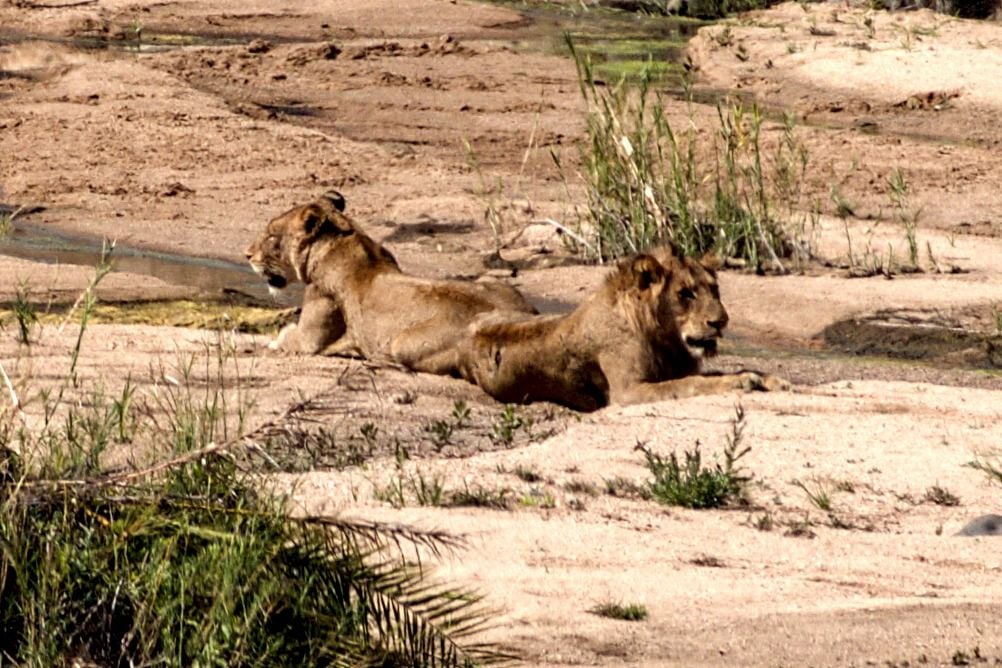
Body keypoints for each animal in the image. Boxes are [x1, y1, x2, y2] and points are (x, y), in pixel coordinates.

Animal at [244, 192, 537, 374]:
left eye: (272, 236)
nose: (247, 255)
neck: (343, 239)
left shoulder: (310, 339)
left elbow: (285, 335)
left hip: (402, 342)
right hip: (498, 283)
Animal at [457, 249, 787, 411]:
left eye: (714, 289)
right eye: (685, 294)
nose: (721, 322)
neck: (665, 339)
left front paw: (774, 380)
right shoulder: (627, 391)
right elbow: (690, 385)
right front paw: (742, 381)